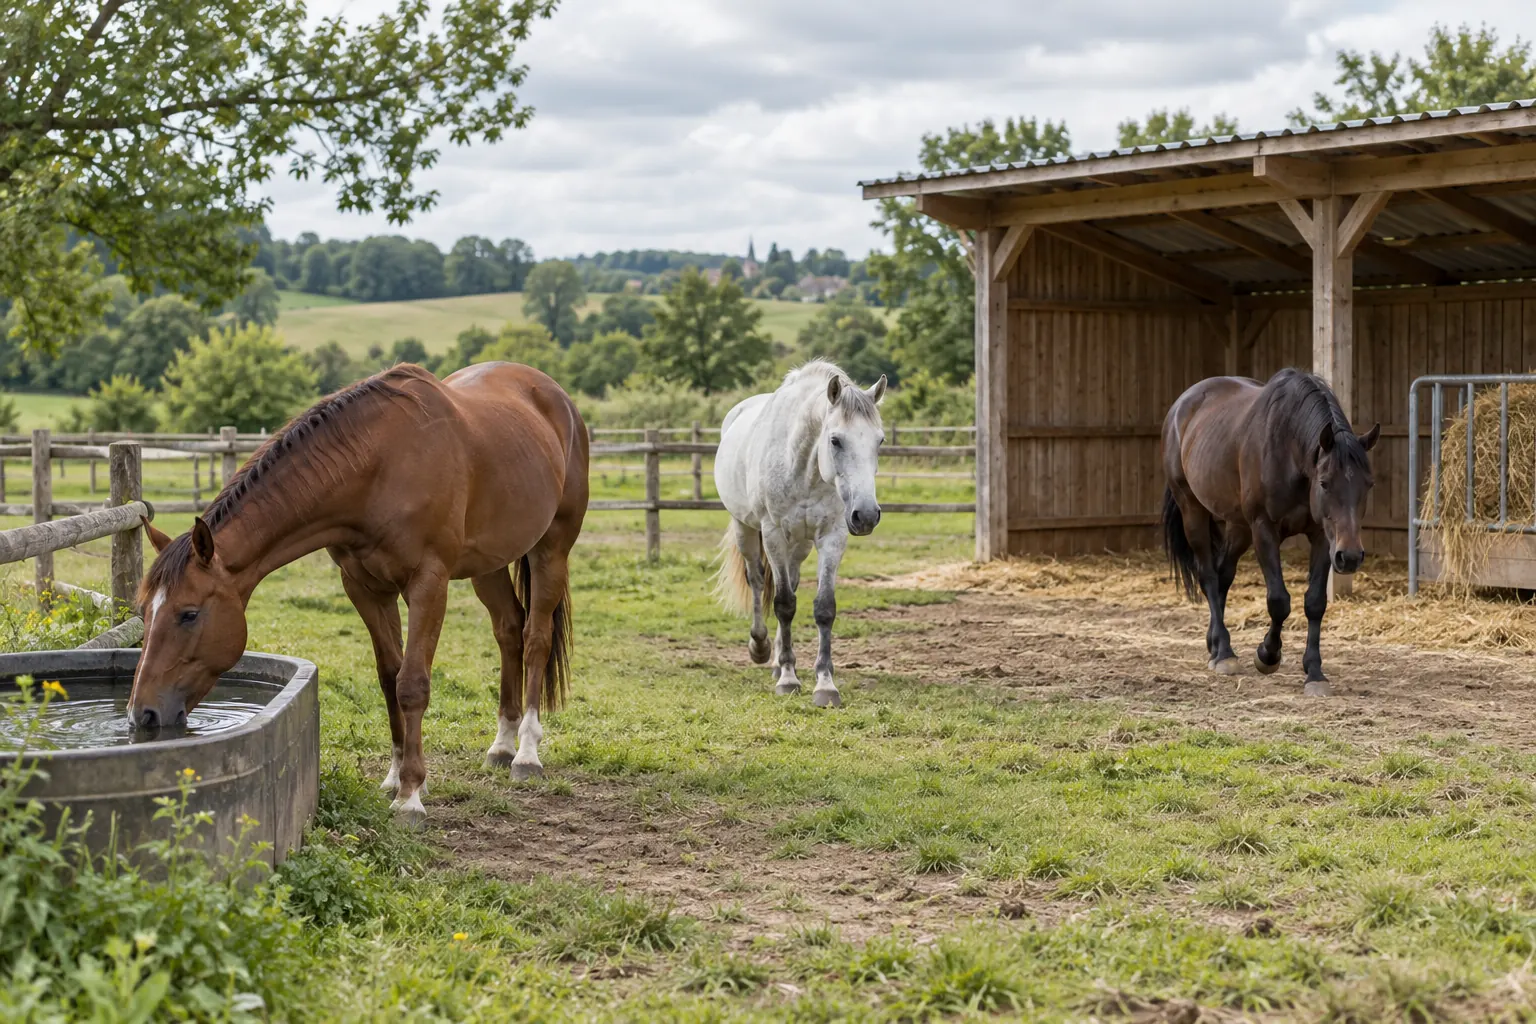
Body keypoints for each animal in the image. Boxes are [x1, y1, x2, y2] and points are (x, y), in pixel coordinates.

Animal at [129, 362, 589, 824]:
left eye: (189, 614)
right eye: (144, 612)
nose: (142, 715)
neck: (377, 466)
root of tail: (554, 395)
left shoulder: (428, 583)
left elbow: (412, 684)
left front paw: (411, 795)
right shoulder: (365, 588)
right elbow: (389, 678)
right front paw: (395, 776)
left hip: (551, 550)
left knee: (535, 638)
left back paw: (526, 753)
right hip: (490, 564)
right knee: (509, 631)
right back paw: (502, 745)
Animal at [713, 360, 886, 708]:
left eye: (880, 441)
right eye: (835, 440)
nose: (866, 515)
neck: (804, 467)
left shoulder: (832, 536)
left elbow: (823, 607)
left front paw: (825, 684)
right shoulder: (773, 533)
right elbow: (783, 604)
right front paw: (789, 679)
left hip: (801, 544)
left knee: (790, 582)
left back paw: (777, 661)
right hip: (746, 530)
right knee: (757, 581)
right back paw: (762, 648)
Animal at [1160, 368, 1379, 696]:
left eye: (1368, 484)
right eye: (1325, 482)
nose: (1351, 557)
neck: (1289, 451)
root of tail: (1181, 405)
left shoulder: (1322, 537)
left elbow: (1315, 602)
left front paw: (1315, 672)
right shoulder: (1264, 528)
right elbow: (1278, 601)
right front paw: (1267, 655)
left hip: (1238, 527)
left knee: (1223, 575)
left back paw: (1215, 645)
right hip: (1193, 511)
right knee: (1209, 576)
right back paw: (1224, 654)